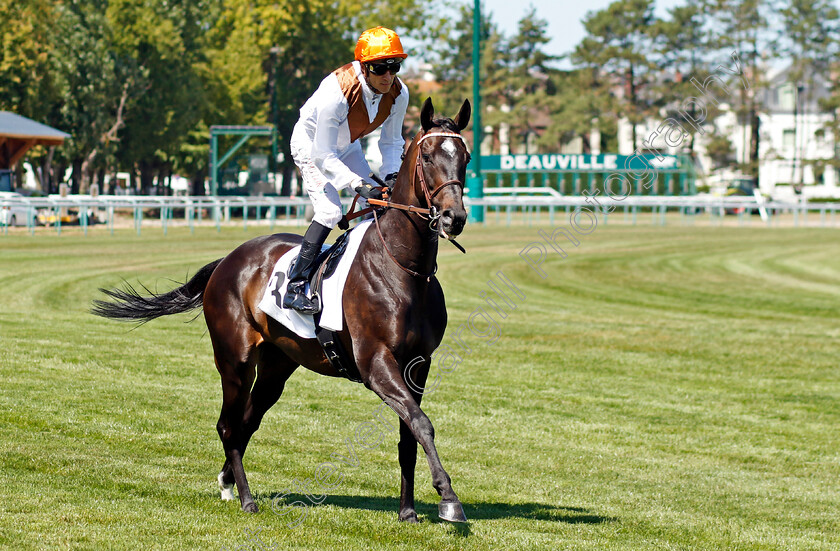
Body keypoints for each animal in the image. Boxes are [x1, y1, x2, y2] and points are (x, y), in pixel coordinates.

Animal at [93, 97, 472, 524]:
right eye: (427, 155)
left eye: (465, 157)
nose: (454, 217)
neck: (404, 268)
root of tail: (227, 261)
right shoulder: (375, 362)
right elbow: (421, 423)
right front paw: (448, 498)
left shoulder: (419, 363)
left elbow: (410, 433)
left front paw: (408, 511)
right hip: (235, 360)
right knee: (228, 426)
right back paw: (245, 497)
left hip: (277, 364)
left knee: (247, 422)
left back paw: (227, 480)